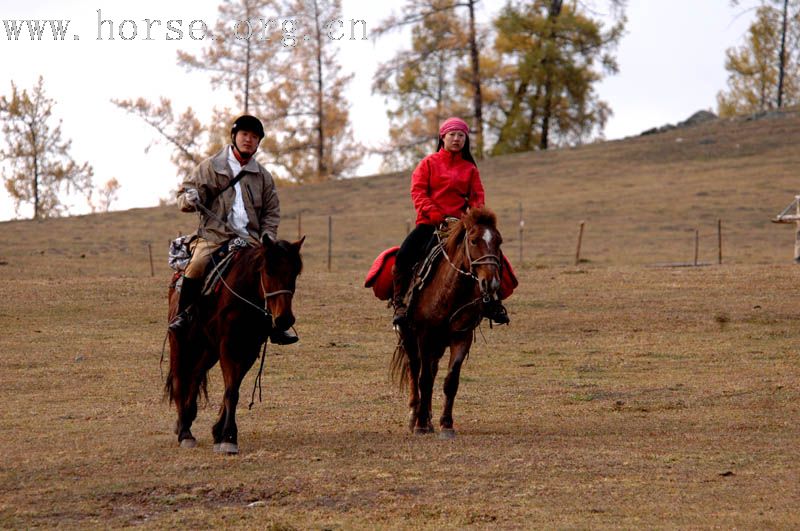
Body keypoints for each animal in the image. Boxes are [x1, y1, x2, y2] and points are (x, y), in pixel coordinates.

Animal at [164, 235, 304, 456]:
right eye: (268, 271)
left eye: (294, 273)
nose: (284, 320)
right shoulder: (229, 346)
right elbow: (231, 391)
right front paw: (228, 437)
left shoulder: (248, 349)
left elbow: (232, 388)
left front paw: (220, 433)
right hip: (180, 342)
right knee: (180, 379)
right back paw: (185, 432)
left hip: (209, 349)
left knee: (195, 376)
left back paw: (186, 419)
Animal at [392, 208, 504, 440]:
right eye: (473, 240)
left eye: (499, 241)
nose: (491, 283)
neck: (450, 292)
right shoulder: (424, 337)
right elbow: (424, 380)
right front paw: (420, 426)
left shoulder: (462, 336)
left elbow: (450, 381)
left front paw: (446, 425)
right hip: (410, 338)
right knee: (415, 370)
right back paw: (415, 416)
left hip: (438, 344)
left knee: (432, 371)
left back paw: (428, 419)